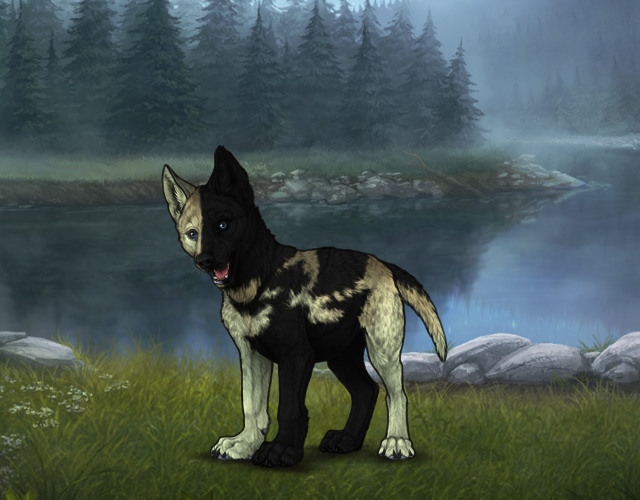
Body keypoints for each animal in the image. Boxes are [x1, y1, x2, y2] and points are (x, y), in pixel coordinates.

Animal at [162, 146, 447, 468]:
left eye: (223, 225)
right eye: (193, 234)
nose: (205, 261)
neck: (259, 280)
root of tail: (385, 265)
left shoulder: (295, 355)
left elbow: (289, 408)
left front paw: (282, 450)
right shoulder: (251, 355)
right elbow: (252, 406)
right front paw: (246, 444)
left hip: (381, 351)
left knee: (396, 393)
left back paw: (397, 442)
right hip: (341, 357)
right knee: (367, 390)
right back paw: (347, 440)